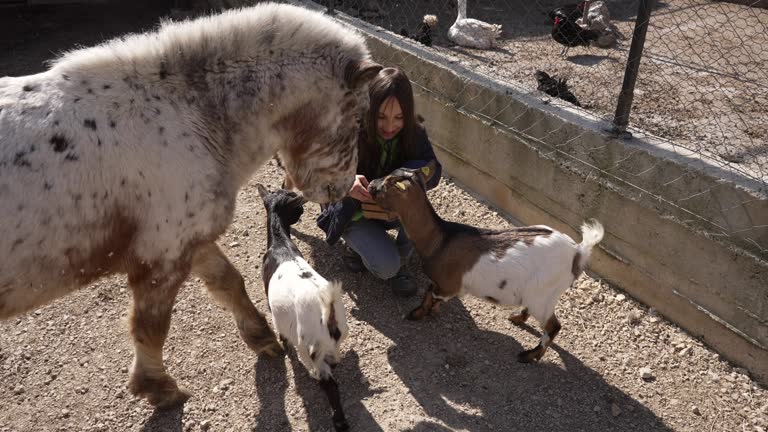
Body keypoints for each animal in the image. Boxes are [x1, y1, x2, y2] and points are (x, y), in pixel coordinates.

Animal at [260, 184, 352, 430]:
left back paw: (339, 421)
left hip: (310, 347)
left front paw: (282, 344)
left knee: (328, 382)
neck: (280, 244)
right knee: (333, 363)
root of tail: (328, 316)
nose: (303, 213)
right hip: (333, 343)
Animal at [368, 164, 608, 362]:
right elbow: (429, 293)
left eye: (387, 183)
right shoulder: (442, 284)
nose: (370, 184)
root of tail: (577, 251)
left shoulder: (449, 285)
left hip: (544, 294)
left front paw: (418, 314)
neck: (440, 240)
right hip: (542, 293)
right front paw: (426, 312)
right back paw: (517, 318)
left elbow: (430, 294)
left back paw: (530, 356)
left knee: (554, 326)